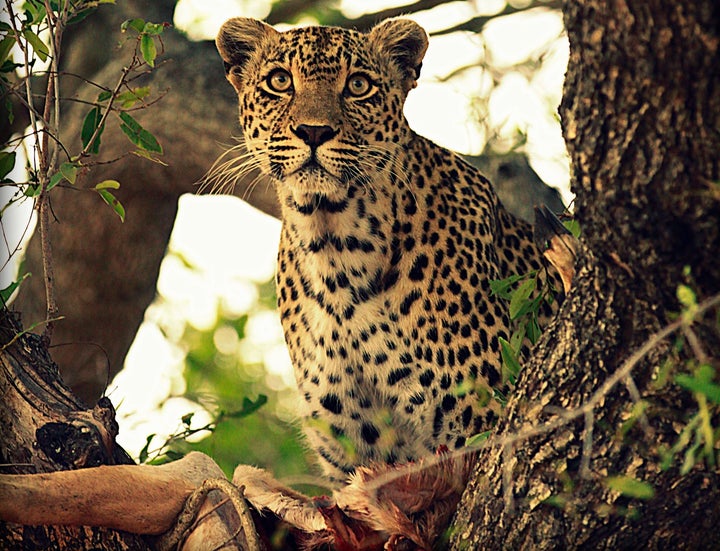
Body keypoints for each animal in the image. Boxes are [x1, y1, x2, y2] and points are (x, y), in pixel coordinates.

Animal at [214, 16, 556, 484]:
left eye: (358, 85)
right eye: (279, 81)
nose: (314, 131)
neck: (335, 247)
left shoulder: (476, 422)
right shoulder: (354, 450)